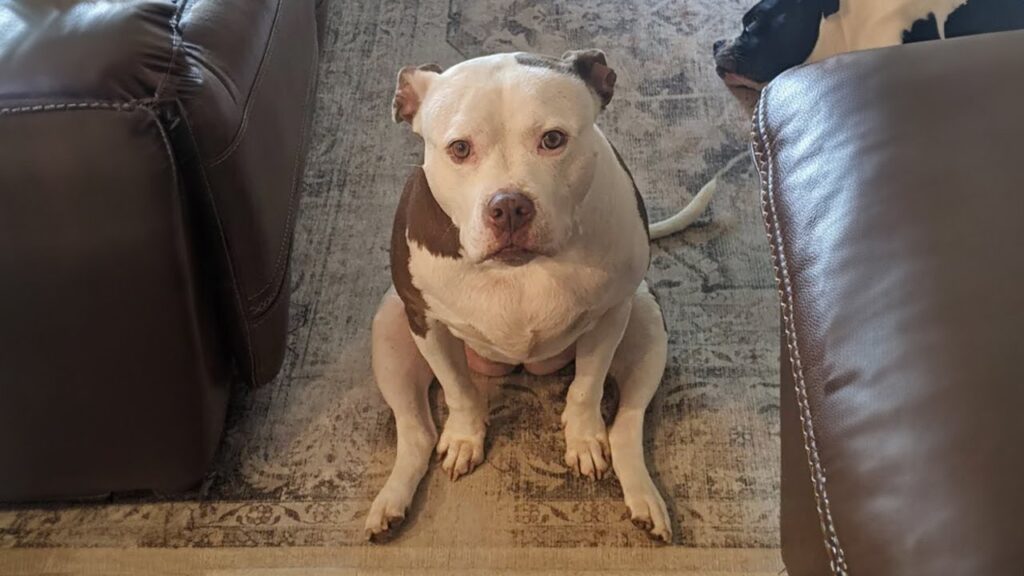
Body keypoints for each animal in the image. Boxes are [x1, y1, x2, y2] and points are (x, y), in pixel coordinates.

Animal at [366, 50, 712, 541]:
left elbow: (587, 386)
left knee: (627, 424)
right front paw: (466, 436)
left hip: (645, 320)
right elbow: (458, 389)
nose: (509, 205)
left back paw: (645, 499)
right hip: (391, 326)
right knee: (417, 432)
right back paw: (390, 504)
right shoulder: (426, 322)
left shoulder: (611, 315)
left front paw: (583, 437)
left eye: (553, 139)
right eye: (459, 148)